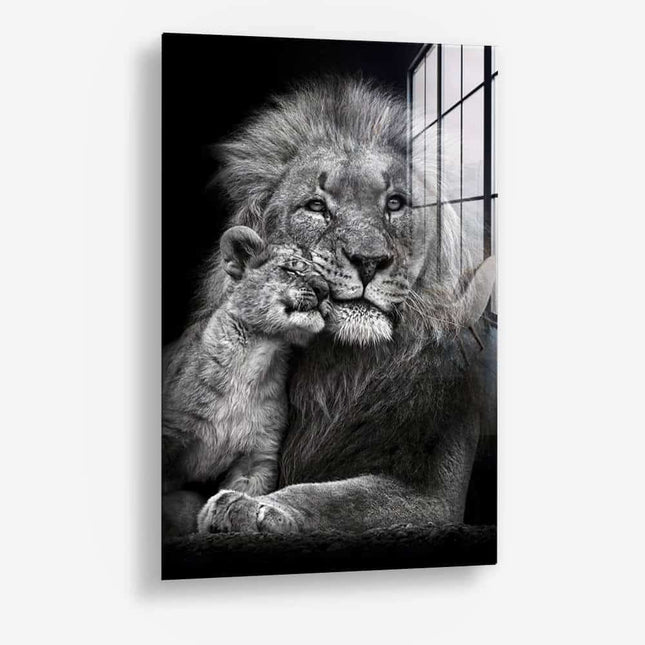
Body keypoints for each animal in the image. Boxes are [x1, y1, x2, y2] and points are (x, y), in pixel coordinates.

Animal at [168, 76, 495, 536]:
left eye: (395, 203)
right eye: (316, 206)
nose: (369, 260)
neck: (341, 372)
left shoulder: (435, 495)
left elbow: (337, 498)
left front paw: (254, 507)